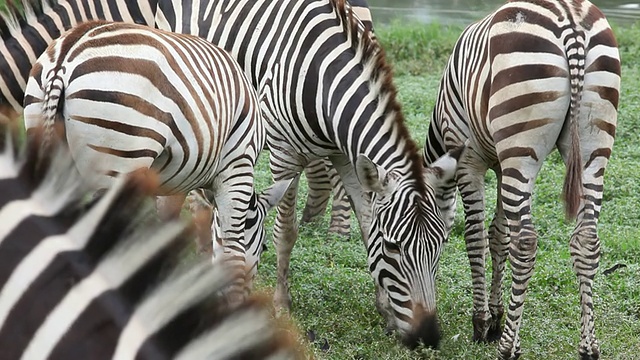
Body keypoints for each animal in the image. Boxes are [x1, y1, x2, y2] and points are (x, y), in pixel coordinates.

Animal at [20, 20, 290, 300]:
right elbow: (233, 254)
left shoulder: (169, 180)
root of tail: (69, 49)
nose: (248, 295)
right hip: (117, 162)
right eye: (264, 246)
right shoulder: (236, 168)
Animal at [154, 0, 464, 348]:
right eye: (393, 247)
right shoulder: (284, 154)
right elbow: (286, 232)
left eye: (441, 245)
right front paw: (281, 304)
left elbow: (367, 226)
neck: (325, 84)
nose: (429, 336)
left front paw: (384, 309)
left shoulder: (347, 157)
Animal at [422, 1, 624, 358]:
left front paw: (482, 323)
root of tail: (571, 21)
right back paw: (588, 346)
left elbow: (476, 238)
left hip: (520, 142)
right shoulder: (502, 166)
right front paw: (496, 316)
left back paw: (508, 348)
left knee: (526, 242)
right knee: (586, 239)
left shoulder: (469, 159)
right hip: (591, 146)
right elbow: (499, 236)